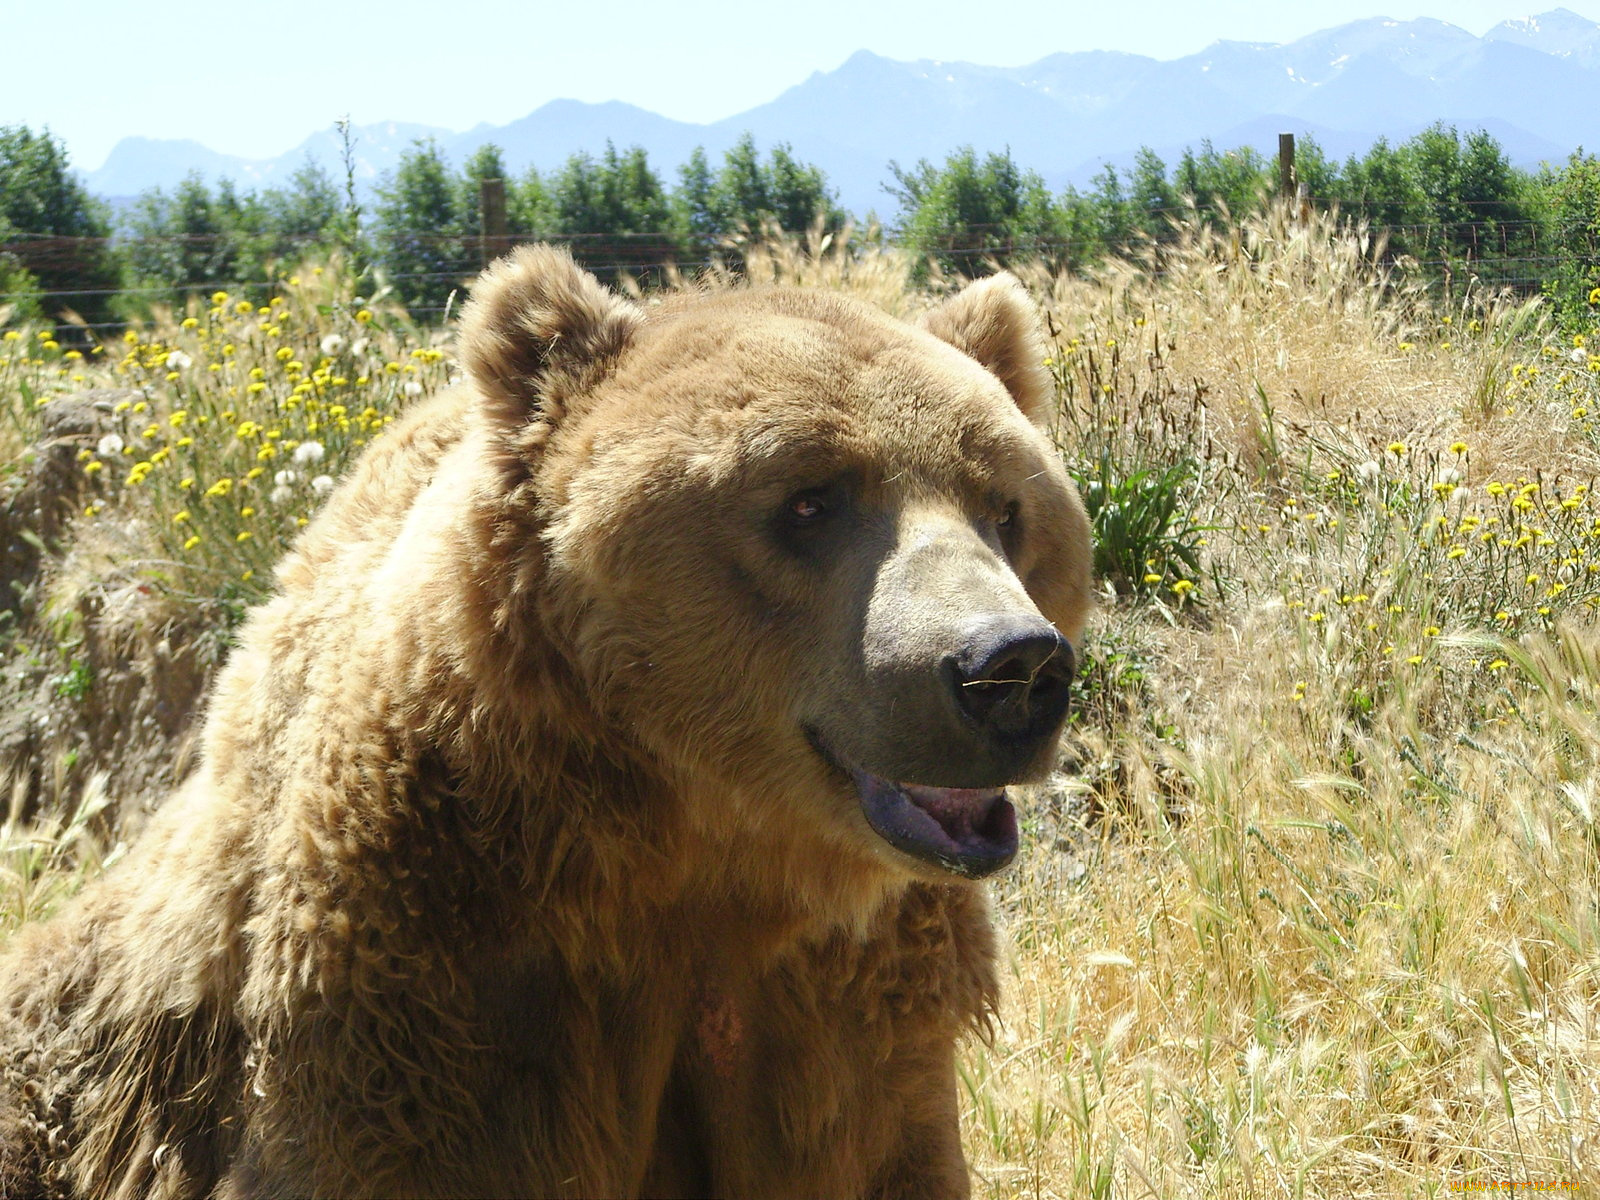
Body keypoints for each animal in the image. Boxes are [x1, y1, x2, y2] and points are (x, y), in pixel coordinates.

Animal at [0, 245, 1092, 1199]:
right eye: (809, 500)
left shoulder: (857, 1019)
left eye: (1005, 505)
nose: (1010, 667)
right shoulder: (428, 982)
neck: (697, 844)